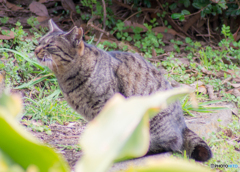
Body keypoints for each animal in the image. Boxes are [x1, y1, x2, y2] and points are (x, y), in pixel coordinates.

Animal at [34, 19, 211, 162]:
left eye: (49, 45)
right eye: (39, 42)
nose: (35, 50)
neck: (67, 77)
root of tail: (183, 126)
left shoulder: (106, 106)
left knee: (167, 144)